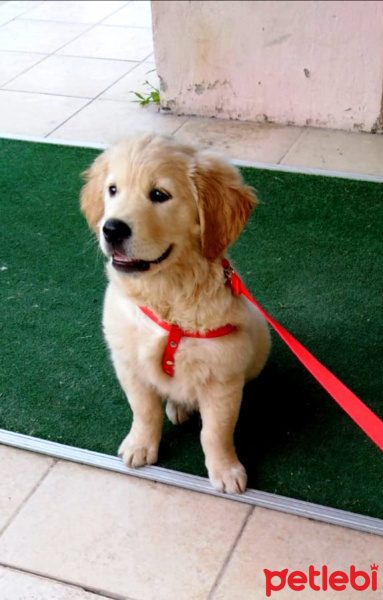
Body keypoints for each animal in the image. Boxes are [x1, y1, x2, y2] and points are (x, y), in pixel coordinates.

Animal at [82, 134, 270, 494]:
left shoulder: (223, 380)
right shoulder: (129, 365)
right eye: (113, 190)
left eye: (159, 195)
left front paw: (226, 470)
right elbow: (144, 411)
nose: (111, 229)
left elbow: (215, 432)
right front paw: (140, 445)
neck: (167, 294)